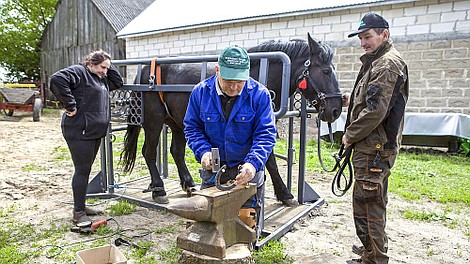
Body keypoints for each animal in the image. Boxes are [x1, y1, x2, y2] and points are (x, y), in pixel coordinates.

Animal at [120, 32, 342, 203]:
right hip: (154, 121)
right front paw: (285, 194)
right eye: (326, 70)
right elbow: (270, 161)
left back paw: (189, 184)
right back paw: (159, 189)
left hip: (177, 123)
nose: (336, 109)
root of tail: (145, 70)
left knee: (176, 151)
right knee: (148, 152)